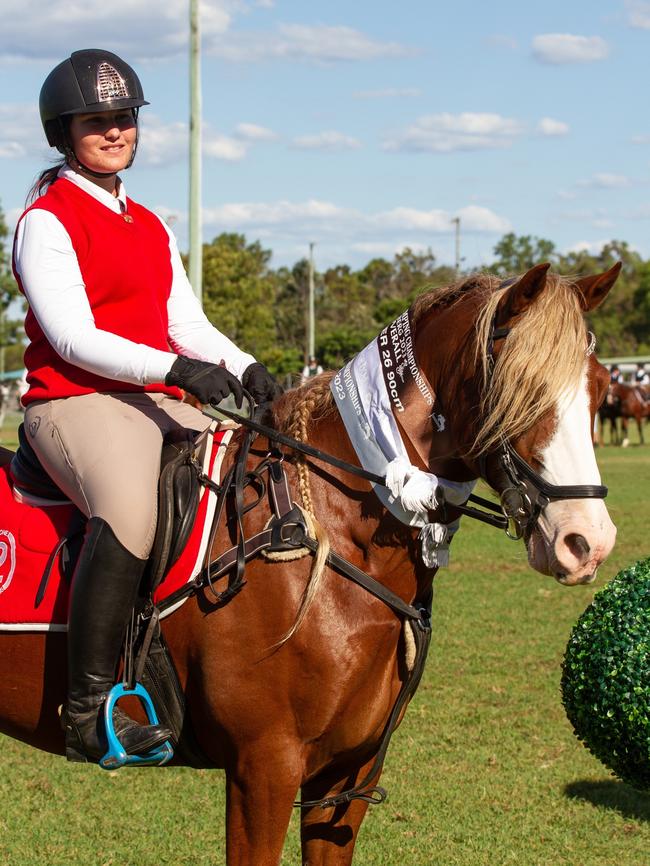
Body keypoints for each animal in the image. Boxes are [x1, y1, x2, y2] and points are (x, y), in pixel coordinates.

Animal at [0, 264, 616, 864]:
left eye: (600, 387)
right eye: (524, 388)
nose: (588, 541)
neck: (327, 528)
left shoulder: (348, 773)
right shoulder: (264, 768)